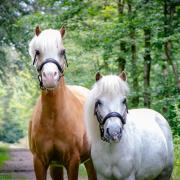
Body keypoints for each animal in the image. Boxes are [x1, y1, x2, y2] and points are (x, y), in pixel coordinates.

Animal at [28, 26, 96, 179]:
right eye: (37, 51)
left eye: (62, 51)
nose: (49, 77)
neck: (54, 118)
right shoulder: (39, 161)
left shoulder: (73, 161)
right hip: (56, 166)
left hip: (91, 160)